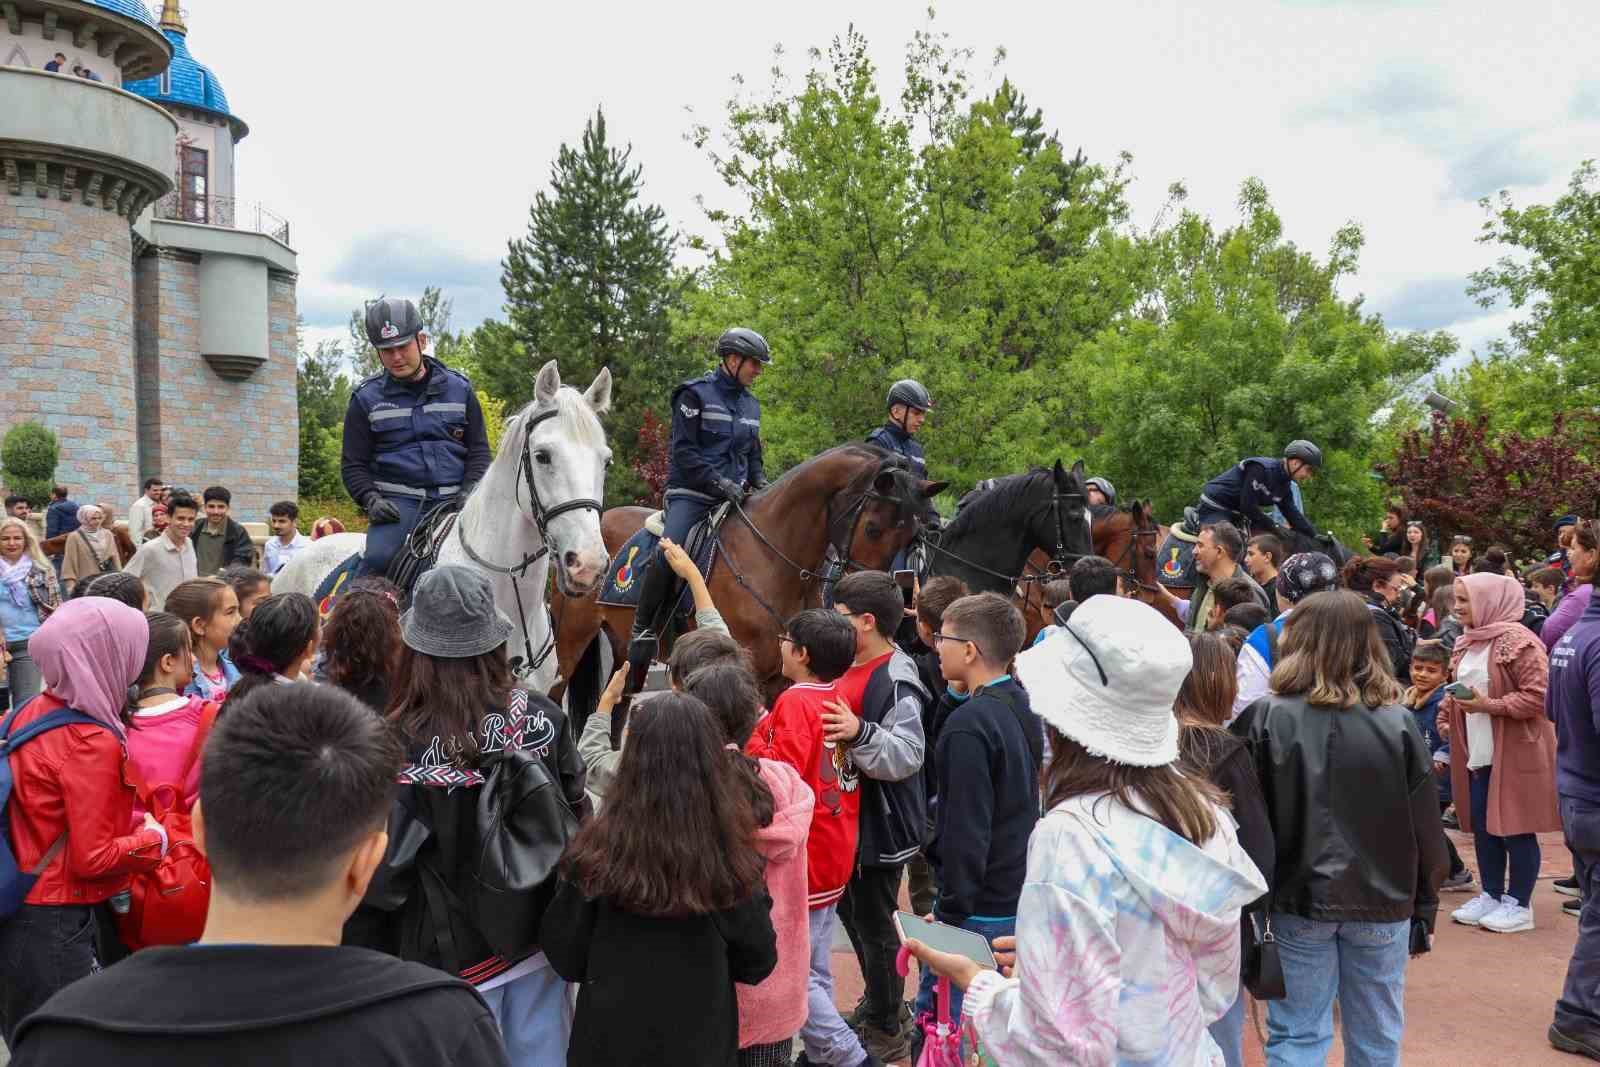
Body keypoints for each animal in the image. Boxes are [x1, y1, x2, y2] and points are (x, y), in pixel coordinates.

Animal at [553, 447, 940, 723]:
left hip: (625, 654)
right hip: (570, 640)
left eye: (912, 534)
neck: (773, 555)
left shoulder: (785, 675)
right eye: (873, 528)